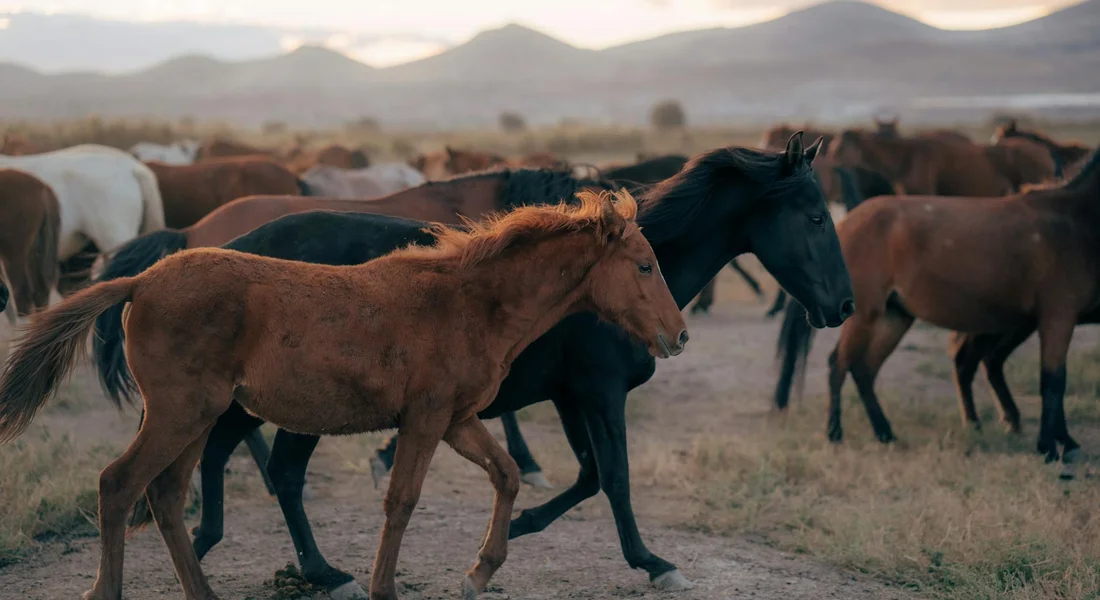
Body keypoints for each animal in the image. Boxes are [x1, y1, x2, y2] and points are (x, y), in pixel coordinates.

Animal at [0, 190, 689, 600]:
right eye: (645, 265)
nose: (678, 335)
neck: (468, 301)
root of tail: (141, 281)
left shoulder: (457, 419)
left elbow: (507, 474)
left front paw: (479, 570)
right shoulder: (425, 419)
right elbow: (401, 500)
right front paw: (385, 587)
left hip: (197, 417)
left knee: (165, 495)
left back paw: (204, 593)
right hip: (180, 413)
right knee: (119, 485)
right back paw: (107, 591)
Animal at [773, 150, 1100, 475]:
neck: (1072, 221)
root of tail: (845, 222)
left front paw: (1062, 442)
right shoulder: (1058, 317)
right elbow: (1053, 381)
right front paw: (1049, 447)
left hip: (895, 318)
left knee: (865, 369)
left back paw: (885, 433)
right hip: (866, 315)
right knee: (839, 364)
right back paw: (835, 433)